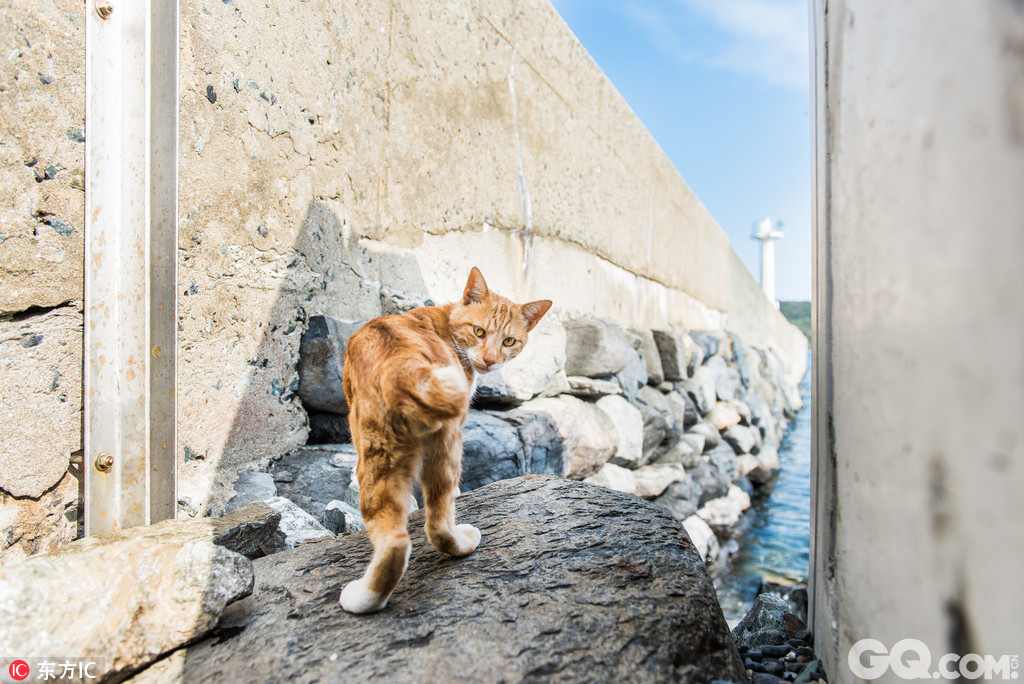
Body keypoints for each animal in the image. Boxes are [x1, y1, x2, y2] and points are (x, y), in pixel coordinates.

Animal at [339, 266, 552, 614]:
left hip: (381, 454)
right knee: (431, 522)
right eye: (479, 332)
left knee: (406, 536)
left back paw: (363, 599)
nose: (490, 360)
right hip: (440, 446)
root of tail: (403, 370)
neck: (445, 319)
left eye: (509, 341)